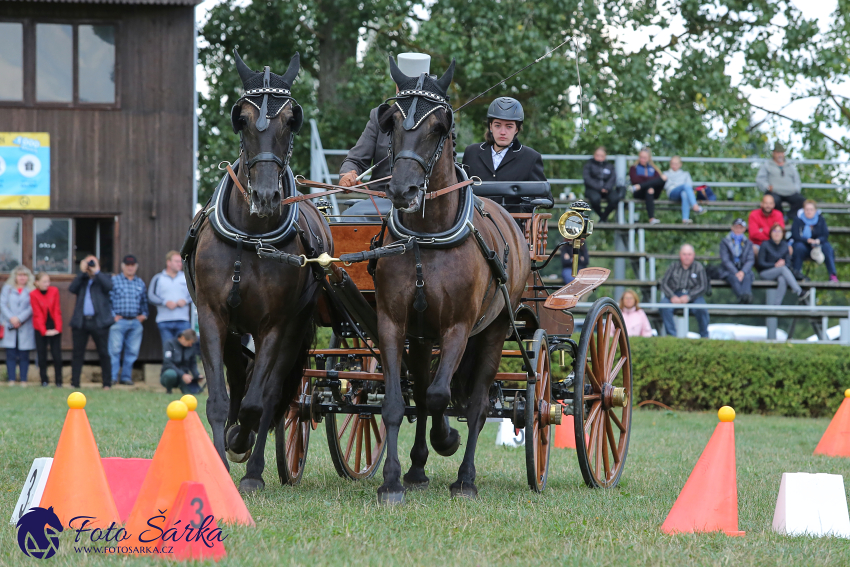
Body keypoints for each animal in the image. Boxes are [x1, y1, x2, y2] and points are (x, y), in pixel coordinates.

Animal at [188, 50, 332, 492]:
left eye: (290, 119)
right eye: (244, 118)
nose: (267, 196)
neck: (251, 235)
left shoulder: (276, 324)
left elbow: (258, 401)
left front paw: (240, 442)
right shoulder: (212, 316)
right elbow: (220, 398)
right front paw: (221, 456)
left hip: (294, 330)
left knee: (269, 397)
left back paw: (252, 468)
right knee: (239, 381)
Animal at [372, 56, 528, 502]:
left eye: (439, 127)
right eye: (391, 122)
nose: (402, 190)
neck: (427, 238)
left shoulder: (458, 326)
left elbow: (443, 395)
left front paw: (447, 441)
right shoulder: (394, 323)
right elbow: (400, 402)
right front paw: (392, 480)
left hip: (494, 330)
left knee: (475, 404)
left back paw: (465, 478)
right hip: (424, 338)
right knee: (424, 394)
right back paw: (417, 468)